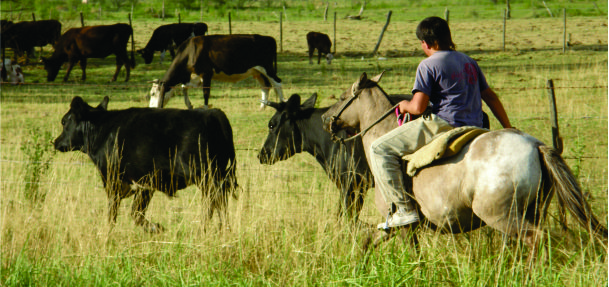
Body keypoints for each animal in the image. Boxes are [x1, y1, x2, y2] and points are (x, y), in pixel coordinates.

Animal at [53, 97, 238, 234]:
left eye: (64, 121)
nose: (56, 142)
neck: (104, 131)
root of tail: (212, 113)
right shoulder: (144, 185)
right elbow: (135, 212)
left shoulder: (115, 181)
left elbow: (117, 213)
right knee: (216, 202)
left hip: (205, 175)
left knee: (214, 200)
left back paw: (208, 230)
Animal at [148, 33, 284, 109]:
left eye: (153, 94)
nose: (151, 108)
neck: (190, 52)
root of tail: (268, 38)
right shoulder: (193, 77)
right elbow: (183, 88)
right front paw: (189, 105)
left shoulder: (206, 73)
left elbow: (205, 93)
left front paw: (205, 108)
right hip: (257, 72)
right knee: (265, 86)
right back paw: (262, 108)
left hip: (267, 68)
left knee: (277, 83)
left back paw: (282, 105)